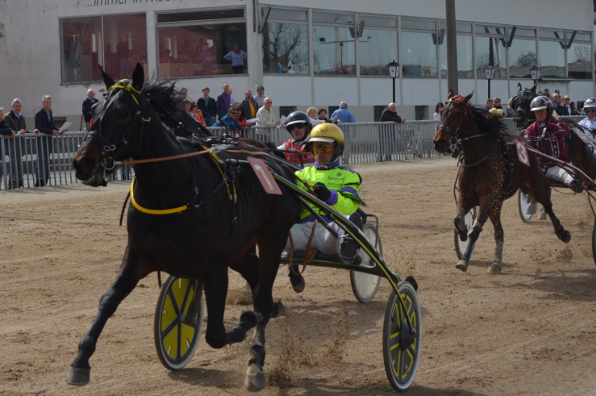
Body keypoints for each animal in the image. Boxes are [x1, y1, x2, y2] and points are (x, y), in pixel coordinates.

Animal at [69, 63, 300, 392]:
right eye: (95, 110)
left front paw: (243, 325)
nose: (83, 162)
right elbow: (108, 300)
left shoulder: (214, 267)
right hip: (239, 249)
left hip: (272, 236)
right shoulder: (138, 255)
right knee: (258, 283)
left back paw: (256, 360)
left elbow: (216, 335)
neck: (174, 188)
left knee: (263, 298)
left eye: (124, 113)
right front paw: (81, 359)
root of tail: (274, 160)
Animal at [434, 91, 568, 274]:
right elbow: (458, 220)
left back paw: (562, 232)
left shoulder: (488, 197)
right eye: (441, 112)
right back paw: (497, 262)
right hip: (499, 203)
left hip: (537, 185)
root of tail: (528, 144)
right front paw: (462, 234)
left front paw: (464, 259)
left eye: (459, 113)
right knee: (499, 230)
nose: (439, 142)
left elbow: (476, 230)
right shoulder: (466, 196)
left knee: (548, 205)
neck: (477, 159)